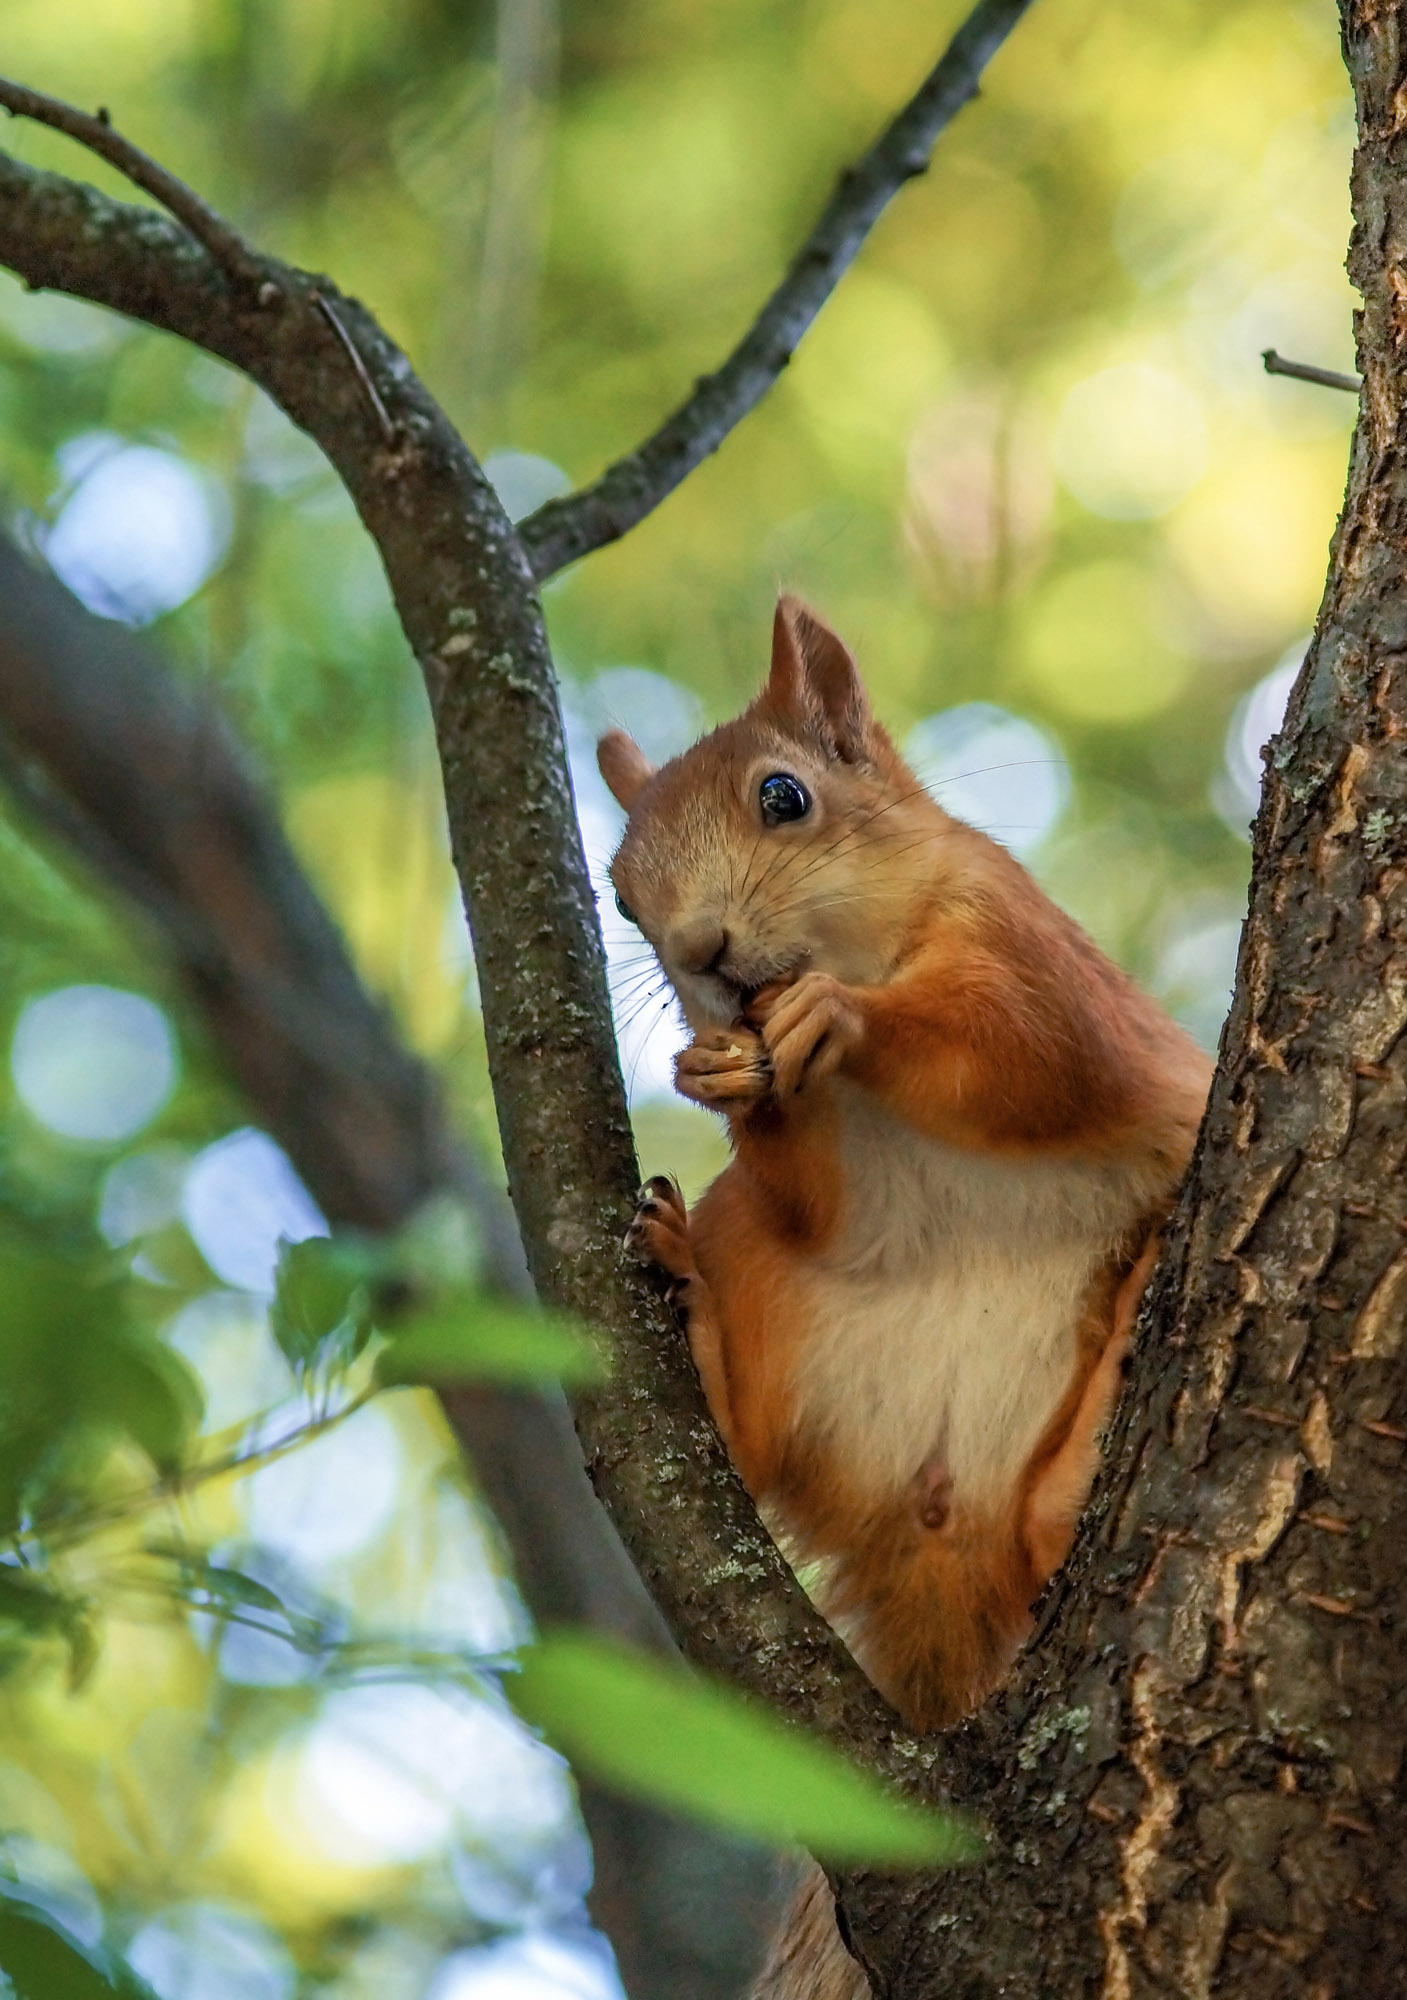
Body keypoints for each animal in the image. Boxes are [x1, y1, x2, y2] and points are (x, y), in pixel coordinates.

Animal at [599, 592, 1207, 1736]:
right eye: (617, 896)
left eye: (784, 795)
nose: (700, 953)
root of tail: (940, 1531)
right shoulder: (823, 1183)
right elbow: (821, 1202)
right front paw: (717, 1071)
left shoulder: (1032, 952)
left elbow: (1026, 1054)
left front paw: (842, 1014)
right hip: (752, 1254)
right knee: (752, 1443)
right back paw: (696, 1318)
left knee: (1044, 1528)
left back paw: (1074, 1469)